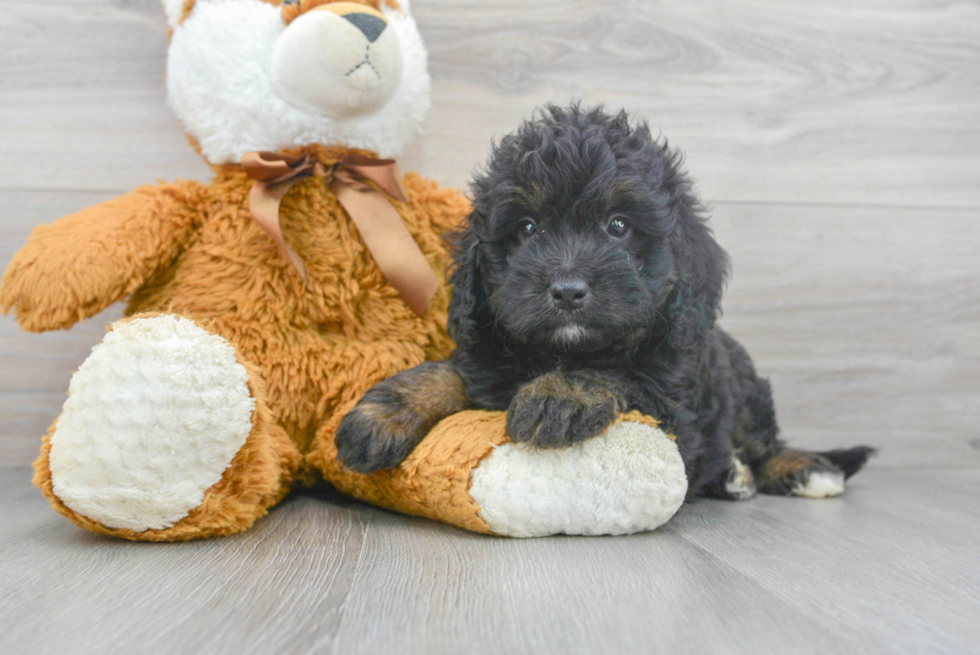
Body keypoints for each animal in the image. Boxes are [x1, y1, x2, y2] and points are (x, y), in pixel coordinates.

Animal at [336, 105, 872, 500]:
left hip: (744, 383)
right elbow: (452, 372)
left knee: (762, 441)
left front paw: (560, 395)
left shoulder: (671, 404)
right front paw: (382, 413)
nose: (568, 290)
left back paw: (796, 470)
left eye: (618, 225)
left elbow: (613, 374)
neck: (560, 349)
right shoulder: (487, 359)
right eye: (527, 228)